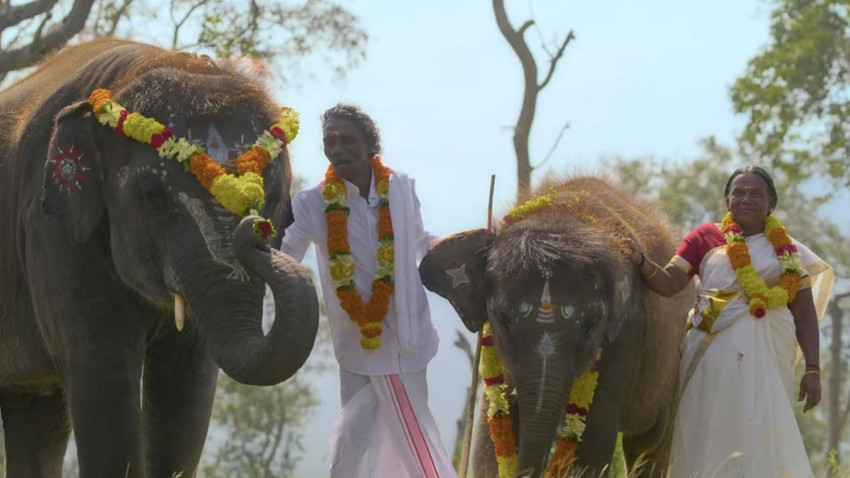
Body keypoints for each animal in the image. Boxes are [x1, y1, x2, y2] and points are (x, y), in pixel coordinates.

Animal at [0, 39, 318, 476]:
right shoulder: (50, 230)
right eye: (153, 196)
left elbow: (186, 387)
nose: (253, 226)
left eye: (274, 200)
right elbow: (103, 375)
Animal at [420, 176, 692, 478]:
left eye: (590, 325)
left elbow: (594, 438)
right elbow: (488, 440)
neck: (560, 213)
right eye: (503, 319)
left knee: (649, 444)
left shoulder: (627, 332)